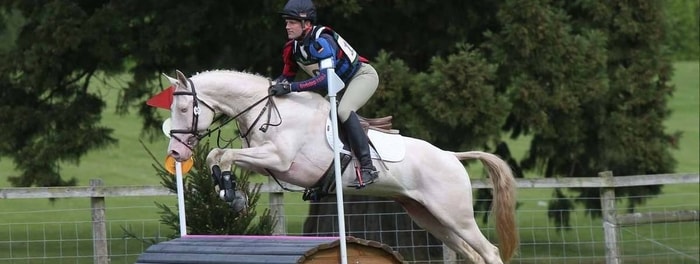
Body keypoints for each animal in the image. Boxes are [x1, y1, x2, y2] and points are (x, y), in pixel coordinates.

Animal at [165, 69, 520, 262]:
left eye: (183, 109)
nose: (177, 153)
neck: (267, 110)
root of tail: (452, 157)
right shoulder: (267, 164)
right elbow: (217, 156)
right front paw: (229, 193)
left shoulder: (278, 159)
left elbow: (224, 156)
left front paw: (231, 195)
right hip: (429, 216)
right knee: (473, 253)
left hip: (455, 216)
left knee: (489, 252)